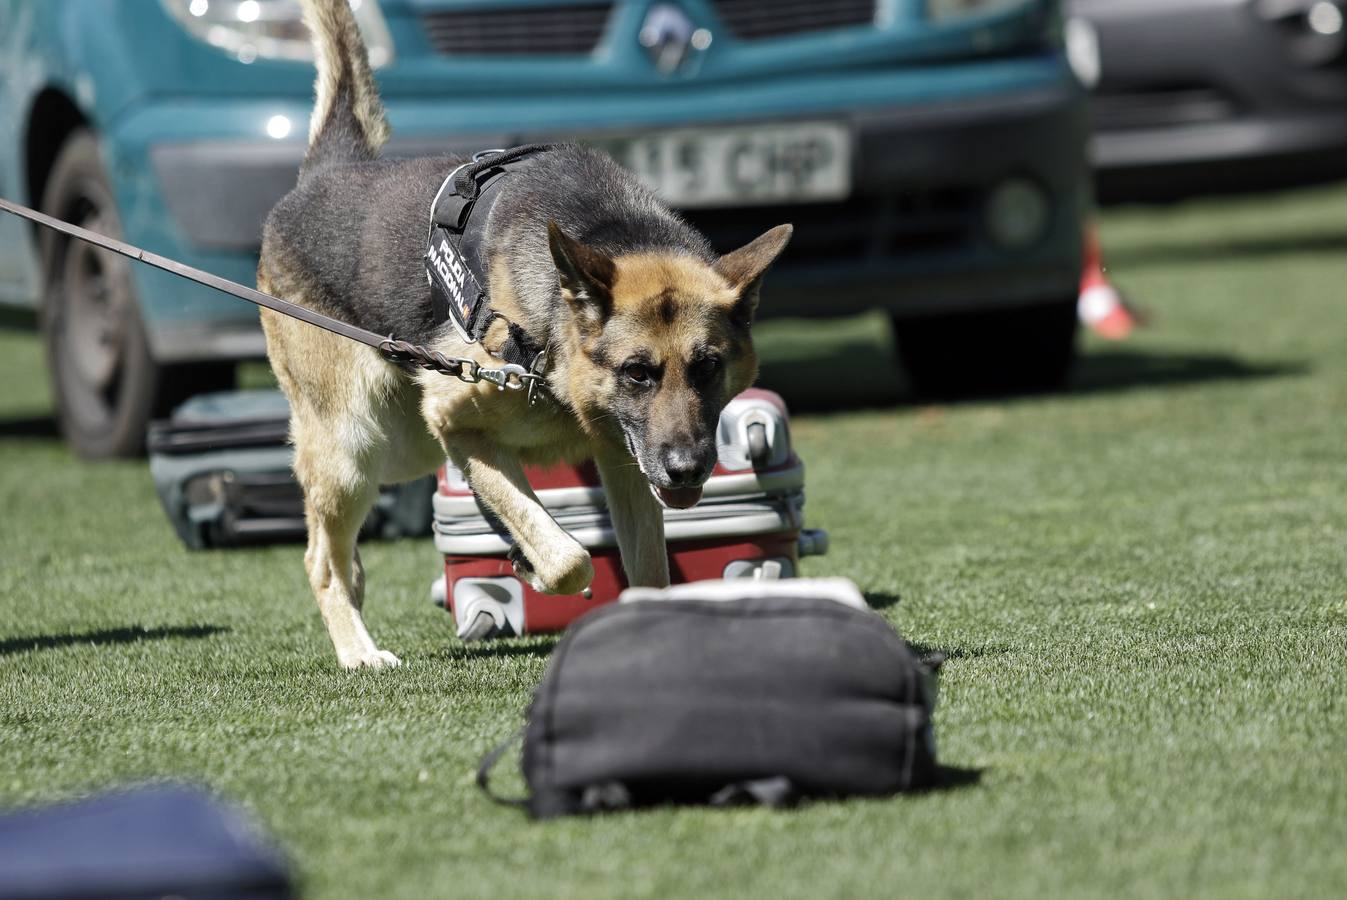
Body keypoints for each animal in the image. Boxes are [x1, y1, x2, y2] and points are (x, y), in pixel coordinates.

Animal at [255, 0, 786, 668]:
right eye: (637, 373)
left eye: (708, 367)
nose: (688, 471)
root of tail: (327, 171)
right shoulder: (457, 421)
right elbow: (568, 559)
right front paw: (529, 563)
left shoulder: (623, 461)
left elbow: (648, 568)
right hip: (359, 447)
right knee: (320, 561)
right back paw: (359, 653)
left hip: (403, 450)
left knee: (341, 557)